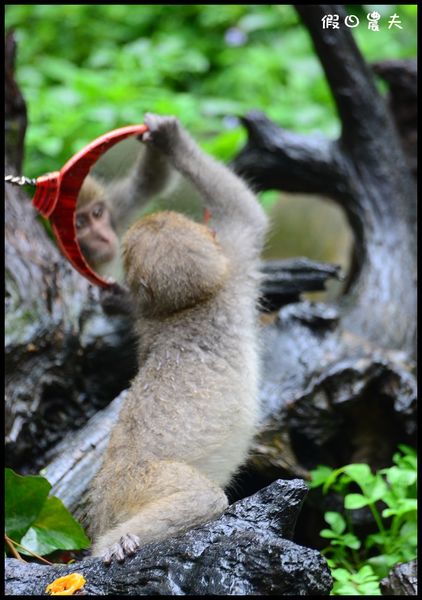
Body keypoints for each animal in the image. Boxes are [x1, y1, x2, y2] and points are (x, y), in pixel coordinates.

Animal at [87, 112, 268, 564]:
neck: (192, 304)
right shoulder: (234, 270)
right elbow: (245, 213)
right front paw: (172, 141)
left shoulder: (229, 275)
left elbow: (246, 213)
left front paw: (169, 141)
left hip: (135, 482)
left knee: (204, 499)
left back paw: (118, 542)